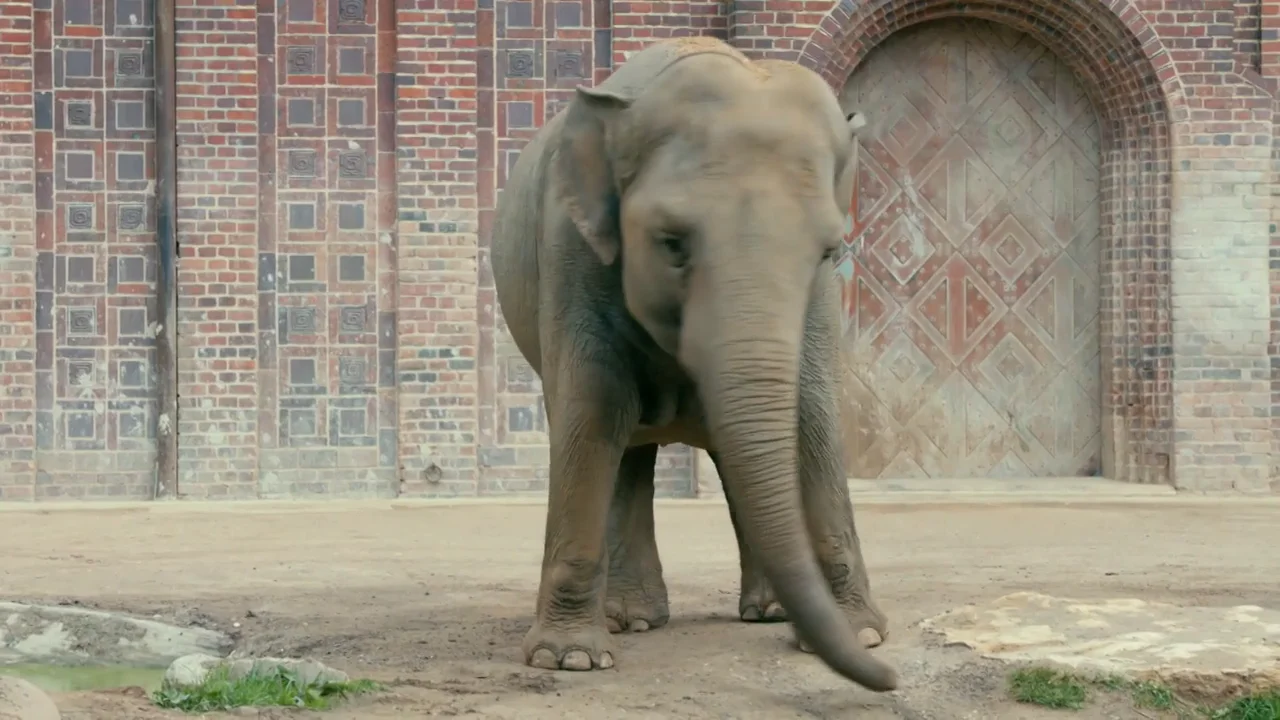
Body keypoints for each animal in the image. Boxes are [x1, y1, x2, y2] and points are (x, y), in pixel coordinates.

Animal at [490, 36, 898, 693]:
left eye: (830, 250)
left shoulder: (819, 303)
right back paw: (632, 619)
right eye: (672, 243)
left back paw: (766, 613)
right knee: (625, 446)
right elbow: (591, 412)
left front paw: (860, 635)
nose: (889, 680)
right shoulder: (571, 250)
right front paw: (569, 659)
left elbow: (811, 415)